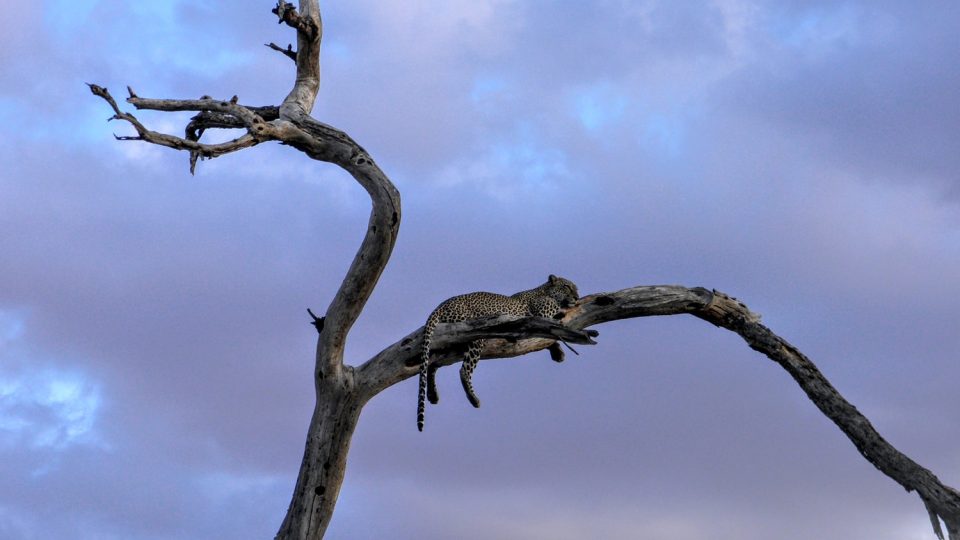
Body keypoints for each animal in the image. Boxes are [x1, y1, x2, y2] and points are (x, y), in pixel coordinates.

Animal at [418, 274, 580, 430]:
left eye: (575, 288)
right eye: (567, 286)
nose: (577, 298)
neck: (544, 291)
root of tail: (441, 305)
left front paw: (558, 353)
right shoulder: (539, 315)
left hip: (448, 340)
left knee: (432, 364)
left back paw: (432, 395)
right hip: (472, 334)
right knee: (464, 370)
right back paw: (473, 399)